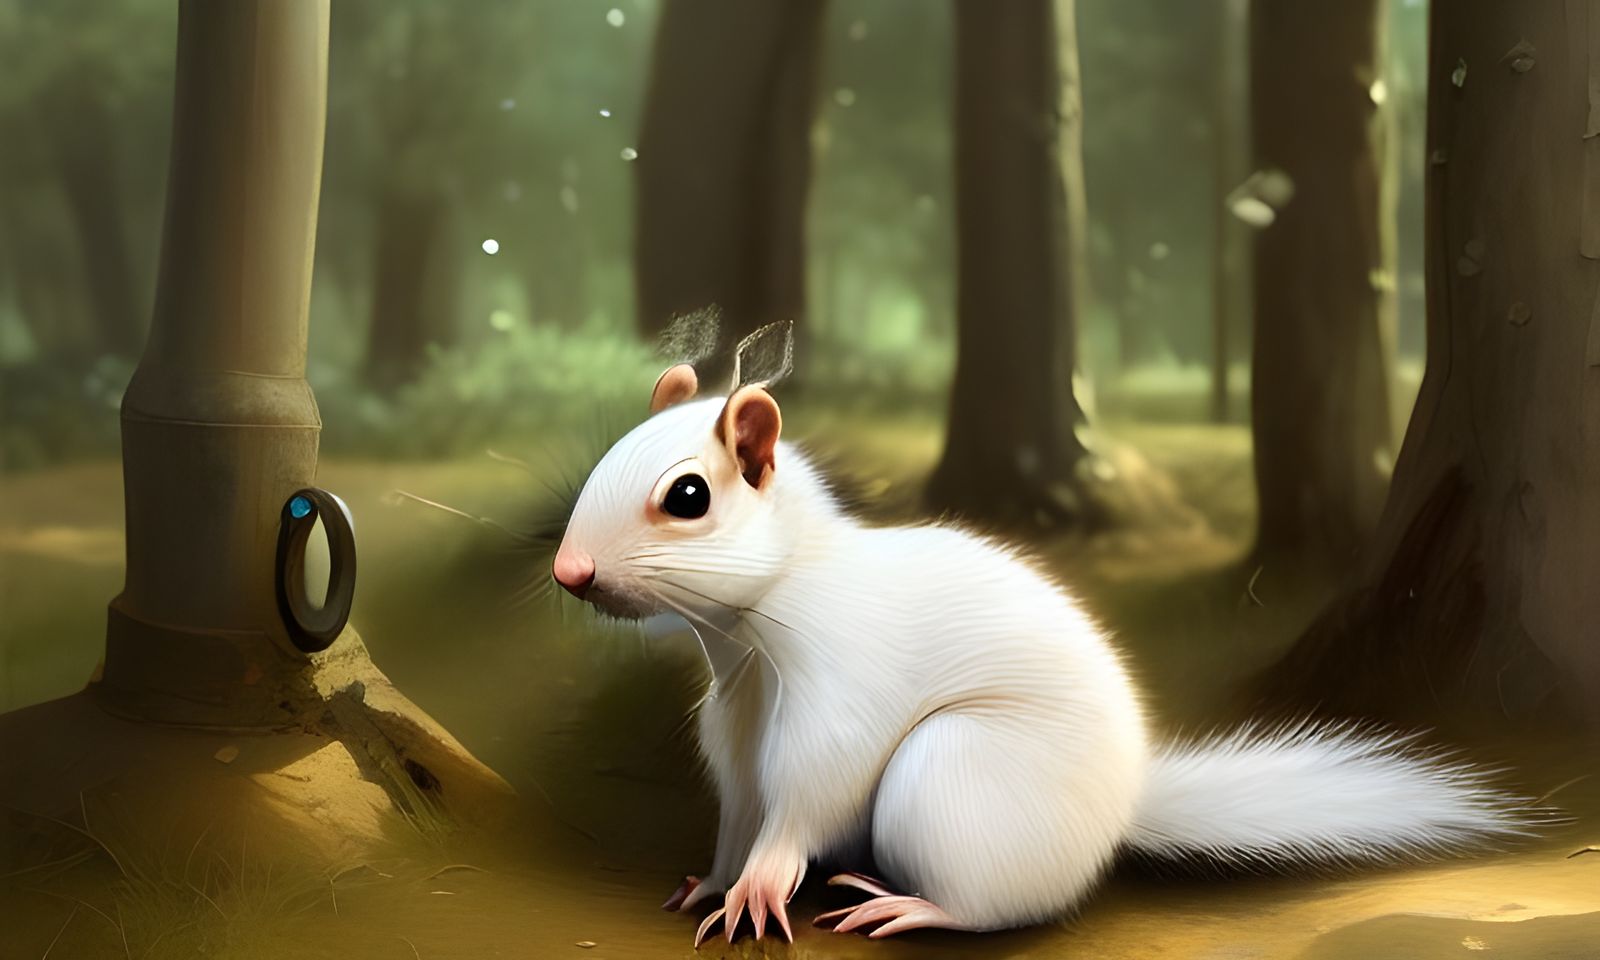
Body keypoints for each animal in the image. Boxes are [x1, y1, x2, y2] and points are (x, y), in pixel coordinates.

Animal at [551, 363, 1533, 946]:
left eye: (688, 496)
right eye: (603, 456)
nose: (570, 572)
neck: (749, 644)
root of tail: (1115, 816)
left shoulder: (838, 694)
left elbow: (811, 792)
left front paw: (762, 883)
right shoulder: (738, 731)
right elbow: (737, 810)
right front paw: (714, 882)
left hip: (951, 776)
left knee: (997, 907)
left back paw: (911, 903)